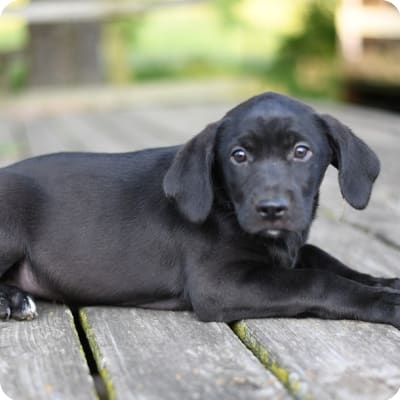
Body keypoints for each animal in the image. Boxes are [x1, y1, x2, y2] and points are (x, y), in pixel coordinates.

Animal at [0, 93, 400, 328]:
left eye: (301, 151)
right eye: (238, 156)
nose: (271, 209)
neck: (226, 205)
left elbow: (323, 258)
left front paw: (384, 281)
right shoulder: (219, 285)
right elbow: (316, 280)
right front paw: (386, 303)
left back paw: (16, 298)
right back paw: (12, 302)